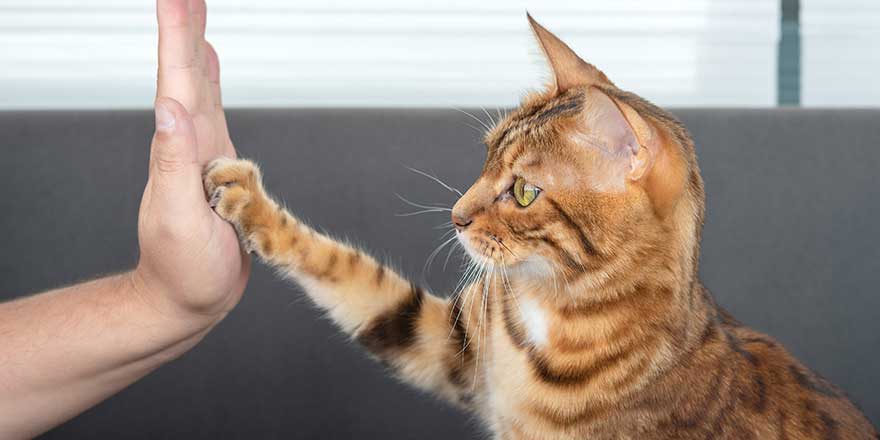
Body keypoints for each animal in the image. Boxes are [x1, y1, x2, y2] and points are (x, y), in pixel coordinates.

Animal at [203, 15, 876, 438]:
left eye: (524, 191)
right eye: (486, 157)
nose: (456, 217)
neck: (555, 308)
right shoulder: (452, 344)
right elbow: (355, 279)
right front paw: (246, 199)